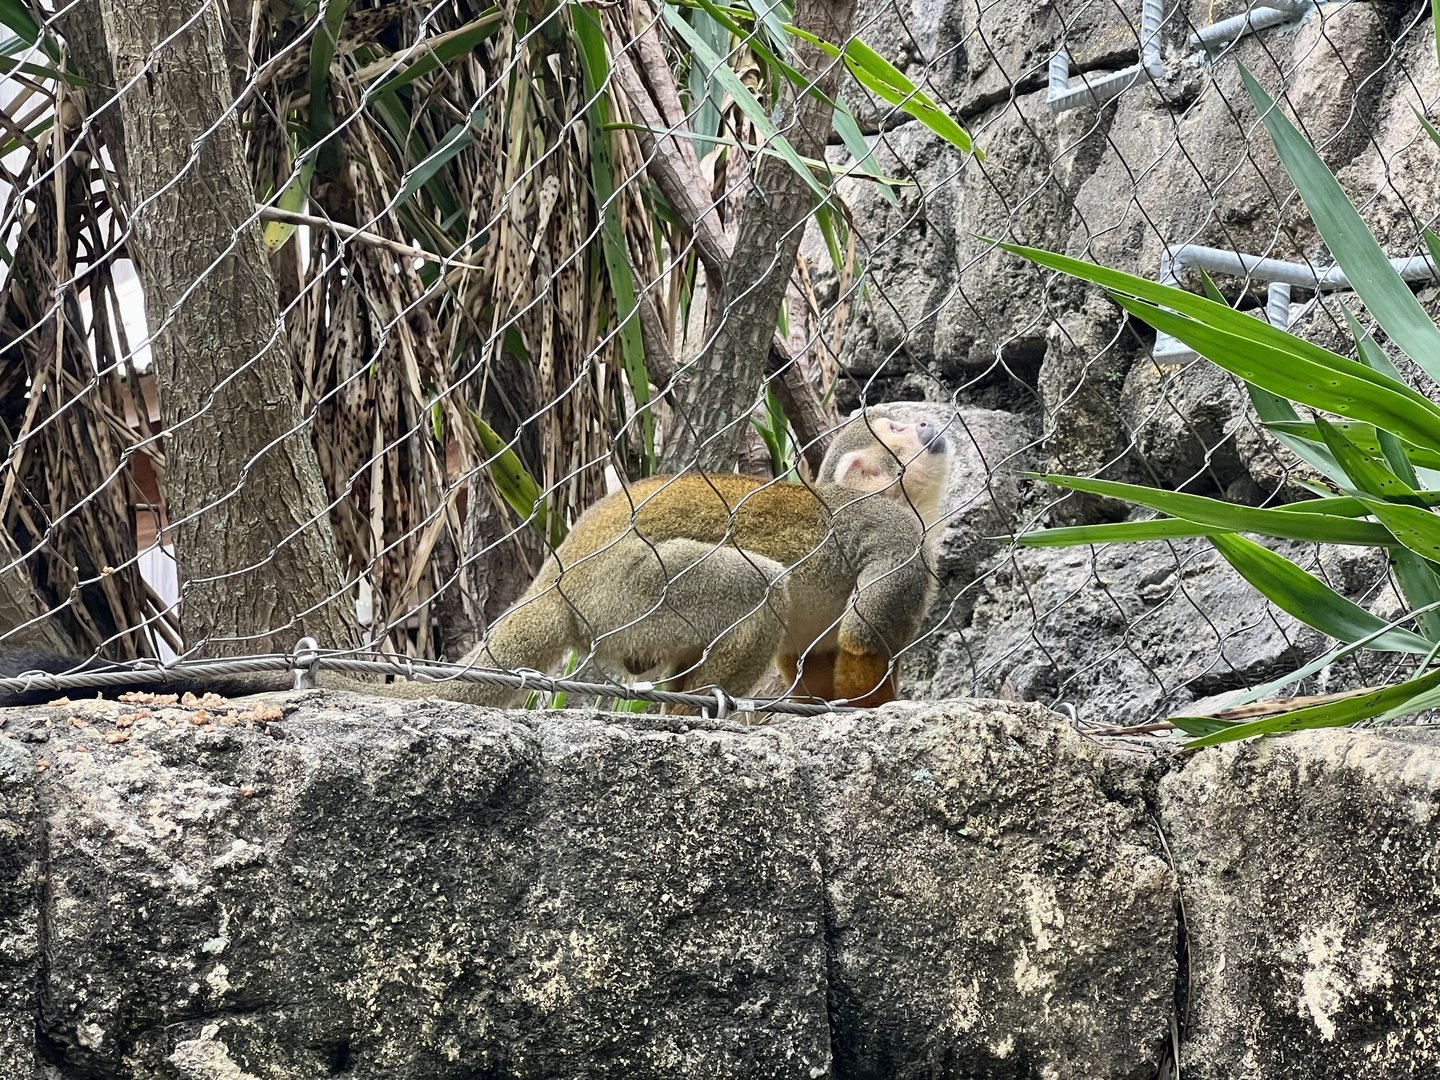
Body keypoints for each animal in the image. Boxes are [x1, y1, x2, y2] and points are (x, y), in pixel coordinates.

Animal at [0, 409, 951, 712]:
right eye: (904, 428)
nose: (936, 426)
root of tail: (557, 572)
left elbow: (820, 646)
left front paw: (816, 697)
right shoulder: (894, 534)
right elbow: (867, 631)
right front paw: (863, 701)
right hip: (629, 587)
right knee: (757, 586)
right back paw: (698, 709)